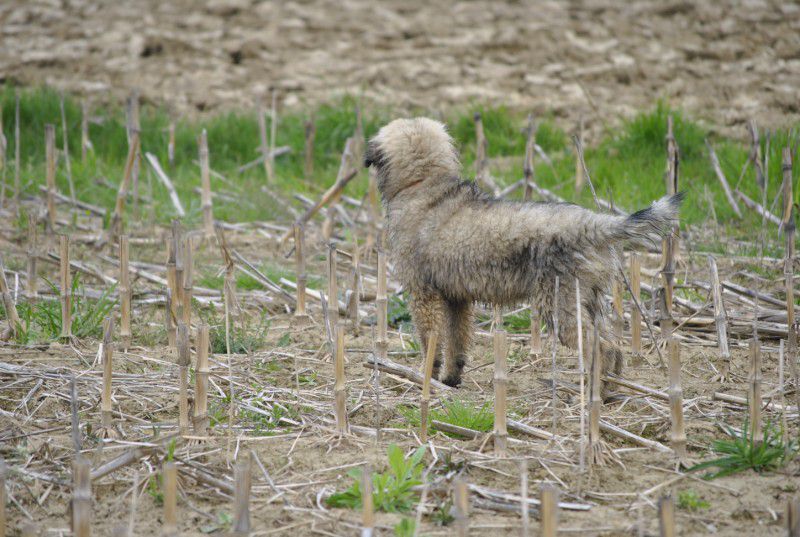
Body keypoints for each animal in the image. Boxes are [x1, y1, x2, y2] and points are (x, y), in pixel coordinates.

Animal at [364, 117, 680, 386]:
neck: (425, 184)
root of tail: (594, 223)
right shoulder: (457, 298)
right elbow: (457, 341)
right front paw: (451, 379)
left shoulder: (423, 295)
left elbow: (431, 339)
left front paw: (426, 375)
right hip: (588, 300)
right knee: (612, 347)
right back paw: (607, 390)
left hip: (560, 306)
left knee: (598, 348)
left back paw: (594, 394)